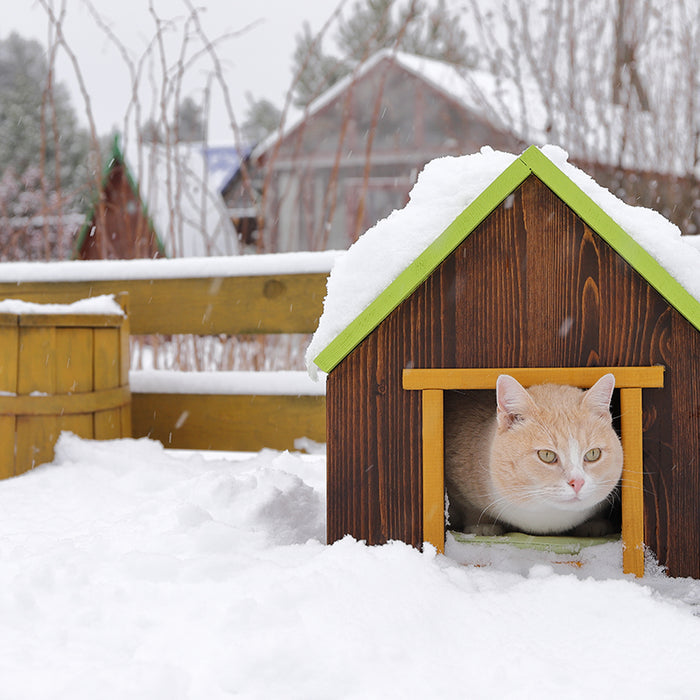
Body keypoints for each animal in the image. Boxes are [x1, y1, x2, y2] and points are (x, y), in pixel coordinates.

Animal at [446, 372, 620, 536]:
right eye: (546, 455)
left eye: (593, 454)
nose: (577, 482)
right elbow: (471, 508)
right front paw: (481, 525)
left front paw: (594, 523)